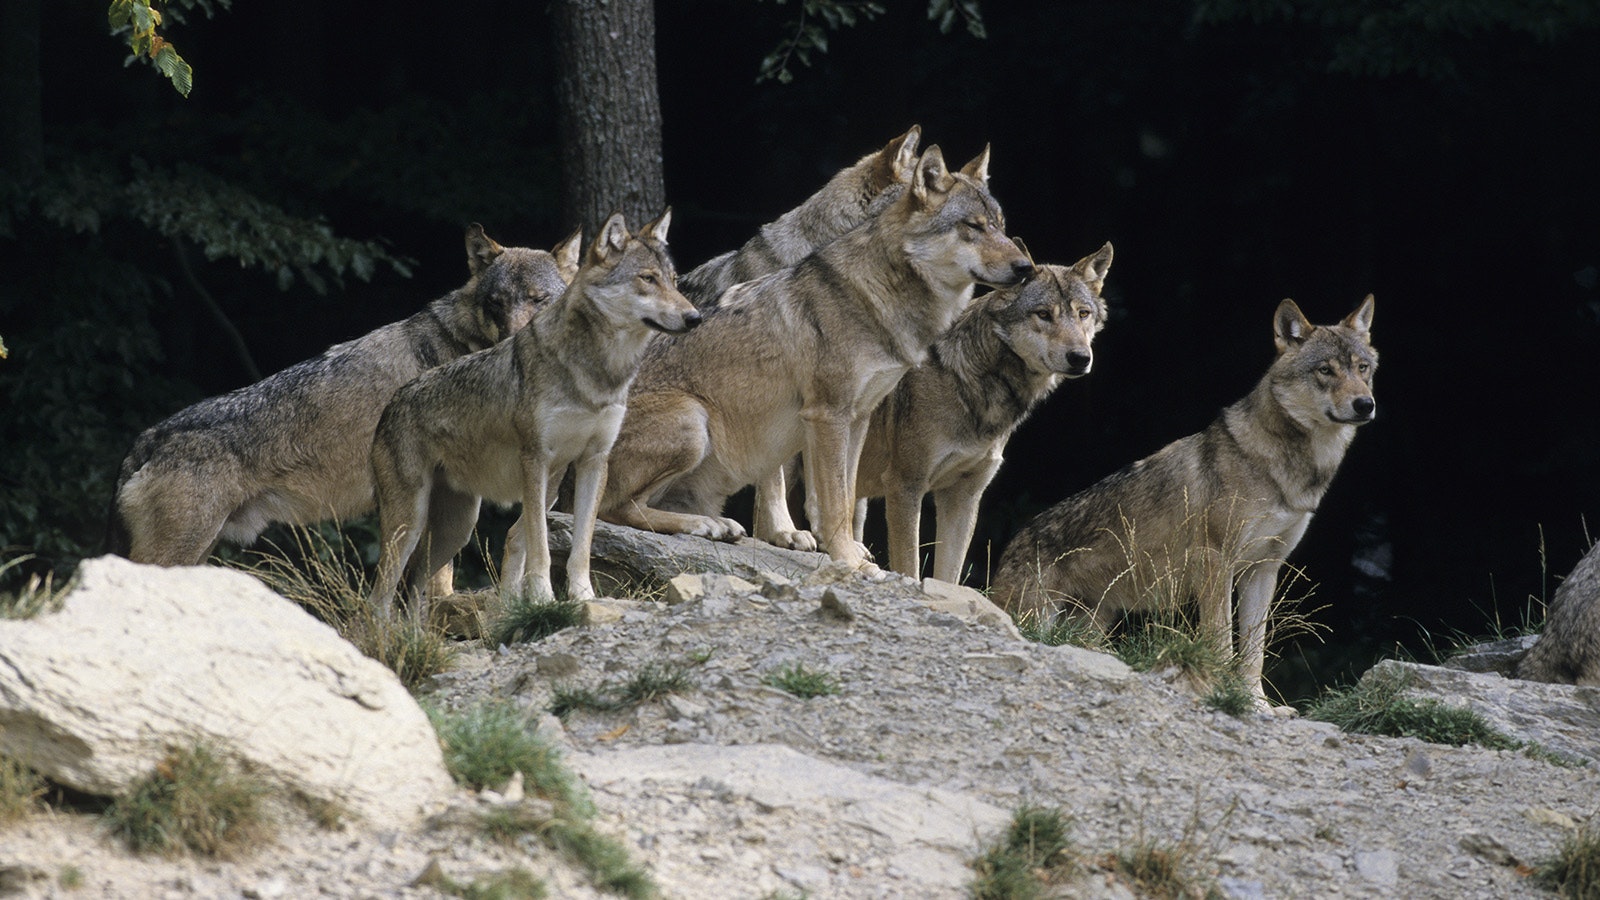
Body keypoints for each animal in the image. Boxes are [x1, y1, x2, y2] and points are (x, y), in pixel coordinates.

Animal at [368, 211, 699, 614]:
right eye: (647, 278)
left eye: (674, 281)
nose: (695, 317)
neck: (597, 375)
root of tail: (391, 403)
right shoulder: (536, 460)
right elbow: (540, 544)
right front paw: (543, 598)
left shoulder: (593, 462)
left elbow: (580, 545)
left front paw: (583, 596)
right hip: (410, 527)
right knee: (378, 600)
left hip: (456, 530)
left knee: (414, 593)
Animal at [597, 145, 1033, 570]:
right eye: (974, 226)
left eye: (1001, 225)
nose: (1026, 267)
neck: (877, 297)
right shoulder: (827, 415)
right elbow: (832, 499)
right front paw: (845, 559)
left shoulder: (857, 418)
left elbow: (845, 498)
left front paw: (849, 552)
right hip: (693, 420)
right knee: (613, 509)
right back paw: (706, 525)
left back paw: (716, 525)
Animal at [850, 243, 1113, 584]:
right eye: (1043, 314)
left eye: (1083, 314)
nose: (1080, 358)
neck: (970, 382)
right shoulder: (905, 486)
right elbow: (909, 566)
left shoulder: (963, 496)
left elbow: (947, 575)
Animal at [990, 295, 1378, 703]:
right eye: (1325, 370)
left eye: (1362, 368)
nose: (1365, 404)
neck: (1288, 469)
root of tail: (1013, 541)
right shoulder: (1215, 562)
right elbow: (1221, 639)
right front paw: (1221, 687)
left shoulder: (1263, 569)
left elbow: (1254, 650)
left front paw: (1256, 701)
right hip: (1039, 616)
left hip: (1094, 622)